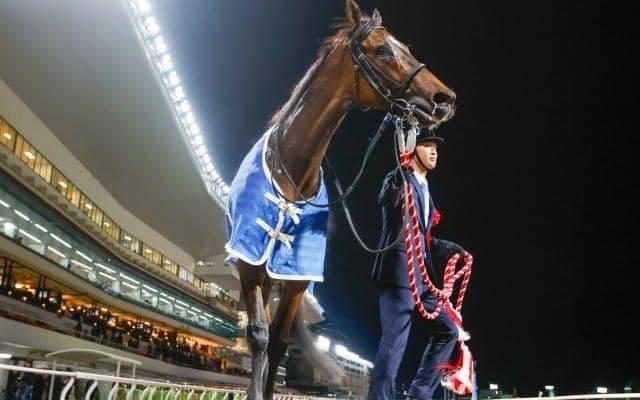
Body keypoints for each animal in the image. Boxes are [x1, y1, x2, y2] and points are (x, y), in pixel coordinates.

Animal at [224, 1, 456, 399]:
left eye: (406, 47)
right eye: (382, 50)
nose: (445, 99)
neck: (292, 171)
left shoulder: (298, 277)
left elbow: (279, 343)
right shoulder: (249, 263)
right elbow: (258, 335)